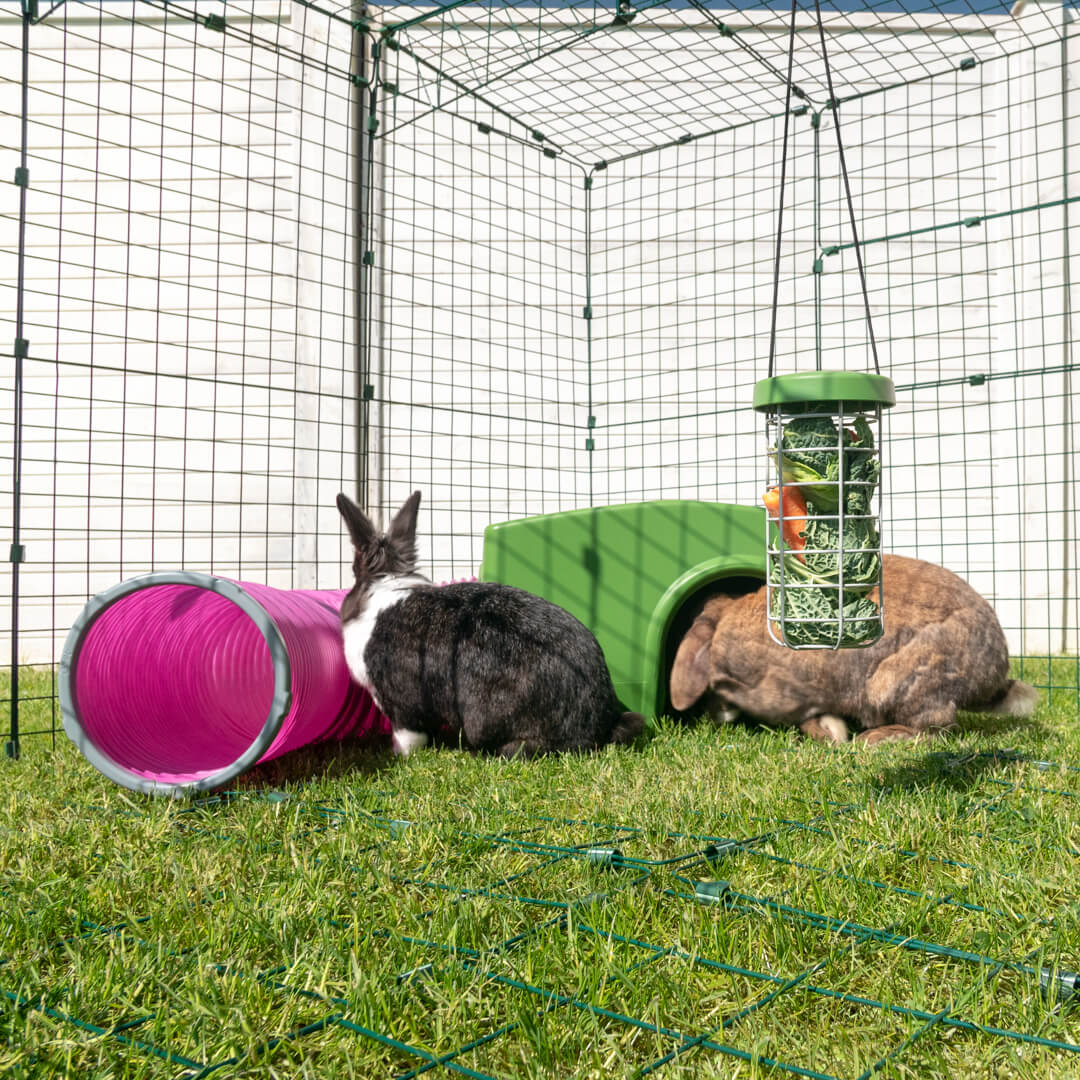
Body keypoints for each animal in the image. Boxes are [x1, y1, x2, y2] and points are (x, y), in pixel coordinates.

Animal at [669, 554, 1038, 745]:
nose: (715, 714)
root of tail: (995, 675)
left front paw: (832, 735)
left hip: (896, 681)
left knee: (938, 729)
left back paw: (876, 739)